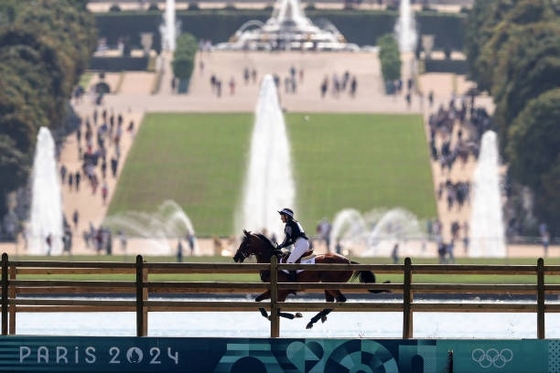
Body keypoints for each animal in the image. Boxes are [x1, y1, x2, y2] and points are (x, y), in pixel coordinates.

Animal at [232, 228, 390, 326]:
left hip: (330, 284)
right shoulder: (273, 290)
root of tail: (348, 261)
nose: (235, 257)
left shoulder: (282, 291)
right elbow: (258, 301)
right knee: (331, 302)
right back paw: (316, 319)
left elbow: (276, 309)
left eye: (245, 243)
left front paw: (295, 315)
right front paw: (271, 314)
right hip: (327, 285)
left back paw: (312, 320)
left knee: (340, 300)